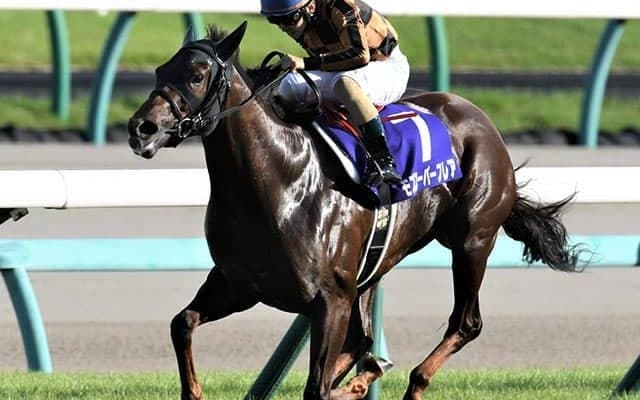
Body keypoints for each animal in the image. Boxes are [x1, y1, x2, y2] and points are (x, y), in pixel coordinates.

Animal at [127, 22, 585, 400]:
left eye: (197, 75)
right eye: (159, 72)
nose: (140, 129)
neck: (279, 180)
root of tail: (482, 121)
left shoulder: (329, 299)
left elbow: (317, 387)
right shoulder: (239, 284)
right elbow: (182, 323)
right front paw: (193, 391)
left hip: (472, 239)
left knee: (465, 323)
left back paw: (411, 382)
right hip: (373, 271)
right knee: (363, 343)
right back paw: (366, 375)